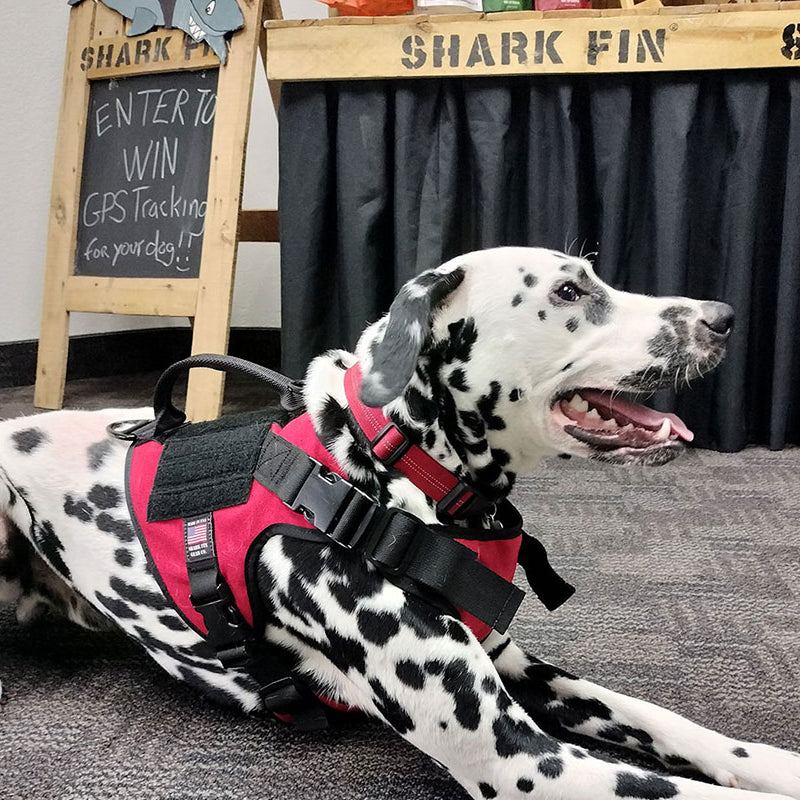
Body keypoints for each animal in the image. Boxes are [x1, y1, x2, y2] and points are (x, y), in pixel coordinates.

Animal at [1, 248, 800, 800]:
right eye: (570, 291)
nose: (723, 317)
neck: (389, 481)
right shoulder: (524, 760)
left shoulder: (523, 673)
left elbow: (668, 722)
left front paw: (774, 761)